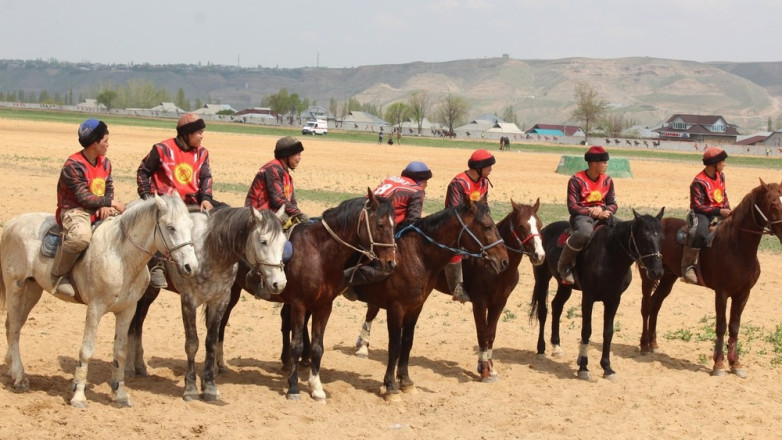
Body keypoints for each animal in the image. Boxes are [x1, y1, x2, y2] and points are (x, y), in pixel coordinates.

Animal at [0, 196, 196, 410]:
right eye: (171, 227)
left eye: (190, 226)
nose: (191, 266)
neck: (120, 256)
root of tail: (12, 223)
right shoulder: (95, 308)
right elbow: (86, 351)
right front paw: (78, 396)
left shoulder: (127, 310)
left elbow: (120, 351)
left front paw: (120, 394)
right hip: (15, 287)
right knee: (14, 329)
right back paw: (20, 378)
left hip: (32, 289)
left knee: (13, 325)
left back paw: (12, 369)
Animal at [125, 206, 288, 402]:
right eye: (263, 241)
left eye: (283, 242)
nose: (279, 283)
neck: (211, 254)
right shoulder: (188, 302)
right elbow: (192, 343)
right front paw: (190, 388)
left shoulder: (220, 301)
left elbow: (211, 342)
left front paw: (210, 387)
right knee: (132, 324)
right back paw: (128, 368)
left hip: (150, 293)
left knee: (138, 323)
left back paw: (140, 366)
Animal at [354, 199, 544, 382]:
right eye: (522, 226)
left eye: (540, 224)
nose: (539, 255)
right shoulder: (480, 303)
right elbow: (482, 333)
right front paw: (483, 369)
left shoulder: (499, 303)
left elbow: (491, 335)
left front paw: (490, 366)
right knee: (371, 312)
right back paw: (363, 346)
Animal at [528, 208, 664, 380]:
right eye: (644, 237)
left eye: (661, 238)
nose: (657, 272)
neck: (609, 256)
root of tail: (544, 230)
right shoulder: (588, 297)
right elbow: (586, 330)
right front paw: (583, 367)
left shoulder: (614, 299)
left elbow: (608, 332)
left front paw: (607, 367)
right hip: (542, 279)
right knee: (543, 311)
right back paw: (541, 349)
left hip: (564, 286)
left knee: (556, 306)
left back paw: (556, 346)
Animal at [640, 180, 782, 378]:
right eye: (774, 204)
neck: (736, 248)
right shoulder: (721, 293)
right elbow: (721, 326)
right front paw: (719, 365)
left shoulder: (743, 294)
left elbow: (735, 326)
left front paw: (736, 364)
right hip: (647, 276)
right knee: (646, 306)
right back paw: (644, 345)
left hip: (668, 278)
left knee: (655, 304)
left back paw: (653, 344)